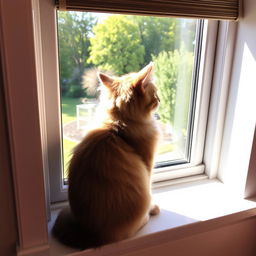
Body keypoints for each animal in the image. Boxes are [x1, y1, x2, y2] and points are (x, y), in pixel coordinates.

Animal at [52, 63, 160, 249]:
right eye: (155, 94)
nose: (160, 99)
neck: (119, 124)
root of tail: (90, 234)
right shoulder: (148, 167)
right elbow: (151, 191)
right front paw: (153, 208)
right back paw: (146, 217)